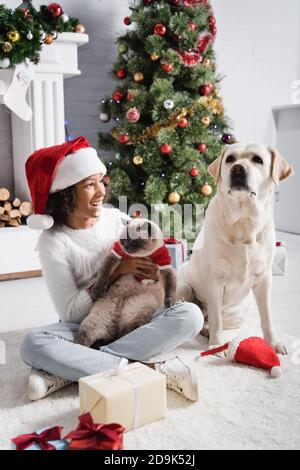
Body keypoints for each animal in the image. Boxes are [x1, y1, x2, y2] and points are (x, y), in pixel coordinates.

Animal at [76, 218, 177, 346]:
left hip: (139, 313)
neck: (142, 256)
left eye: (134, 241)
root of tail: (116, 318)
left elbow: (170, 286)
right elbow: (103, 274)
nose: (126, 247)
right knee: (86, 340)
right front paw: (97, 292)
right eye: (123, 240)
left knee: (123, 335)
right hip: (94, 321)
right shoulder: (115, 255)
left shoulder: (165, 266)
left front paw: (170, 302)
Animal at [177, 141, 294, 354]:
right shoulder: (214, 280)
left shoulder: (264, 279)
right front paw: (216, 345)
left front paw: (273, 343)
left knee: (210, 321)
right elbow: (216, 320)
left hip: (239, 313)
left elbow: (267, 317)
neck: (243, 222)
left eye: (258, 159)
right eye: (230, 159)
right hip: (184, 288)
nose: (238, 168)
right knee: (203, 316)